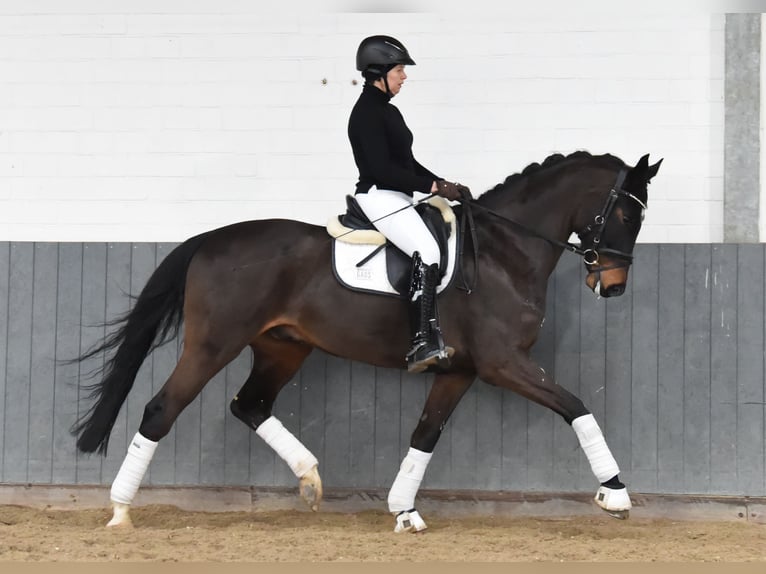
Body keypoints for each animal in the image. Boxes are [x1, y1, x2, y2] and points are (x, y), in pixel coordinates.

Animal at [72, 151, 664, 532]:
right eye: (625, 213)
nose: (612, 286)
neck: (503, 251)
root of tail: (211, 239)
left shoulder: (460, 370)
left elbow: (425, 434)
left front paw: (403, 509)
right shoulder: (504, 363)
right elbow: (576, 406)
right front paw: (615, 494)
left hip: (283, 346)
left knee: (251, 404)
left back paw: (310, 479)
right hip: (213, 344)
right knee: (160, 409)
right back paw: (121, 511)